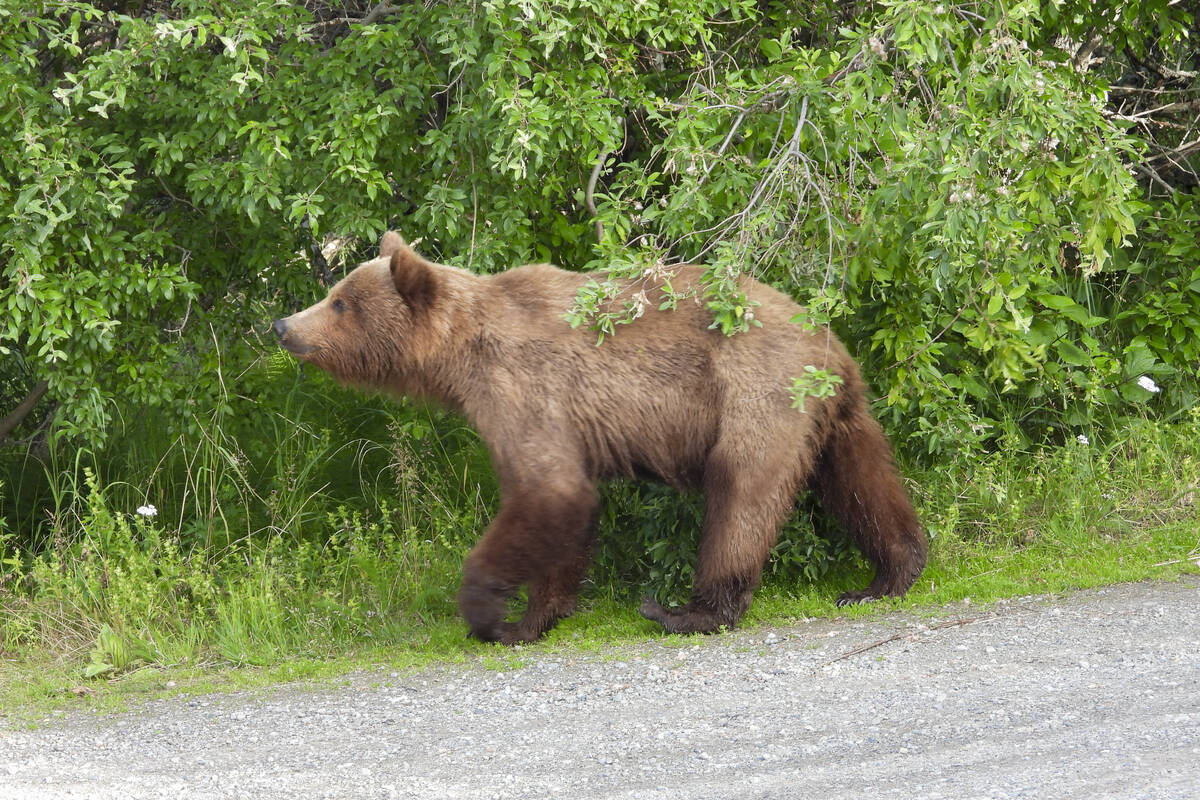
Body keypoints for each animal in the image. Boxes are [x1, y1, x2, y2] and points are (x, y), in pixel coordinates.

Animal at [274, 231, 926, 642]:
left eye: (340, 302)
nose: (283, 325)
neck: (459, 357)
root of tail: (823, 340)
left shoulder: (523, 388)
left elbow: (549, 492)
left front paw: (489, 614)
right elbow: (567, 509)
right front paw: (538, 616)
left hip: (755, 394)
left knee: (741, 494)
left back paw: (687, 610)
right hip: (835, 410)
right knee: (861, 480)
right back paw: (887, 575)